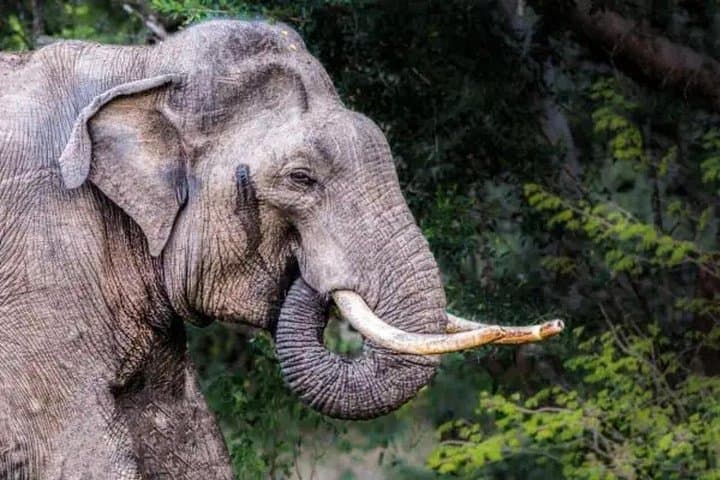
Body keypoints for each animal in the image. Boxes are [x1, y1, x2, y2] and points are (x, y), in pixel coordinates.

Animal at [0, 20, 563, 479]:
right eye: (300, 178)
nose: (555, 324)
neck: (143, 66)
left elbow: (190, 436)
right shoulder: (40, 263)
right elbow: (79, 452)